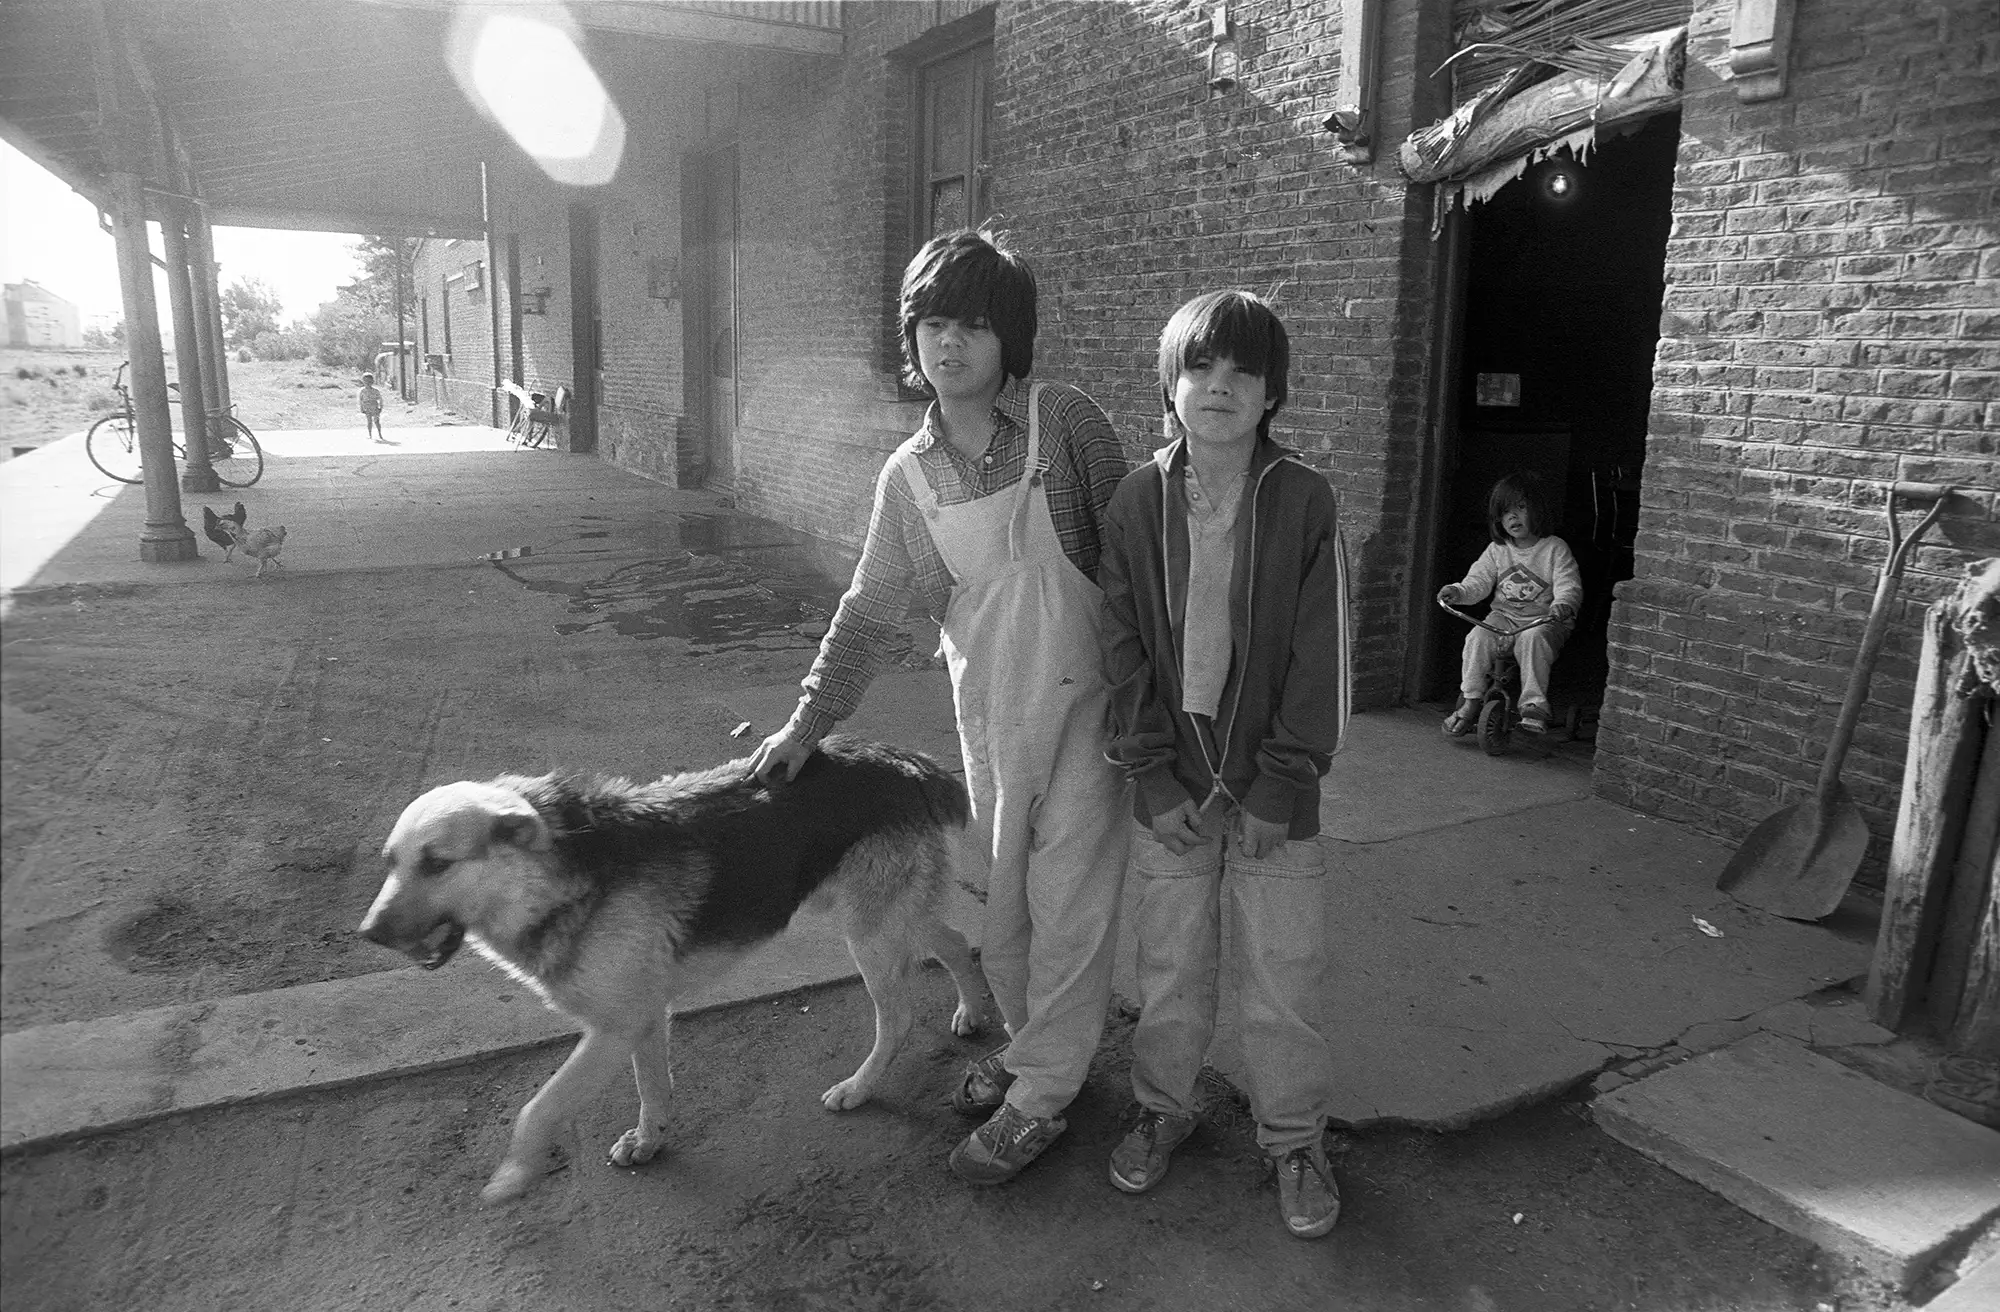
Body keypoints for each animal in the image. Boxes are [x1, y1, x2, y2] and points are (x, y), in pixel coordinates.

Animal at [359, 737, 986, 1203]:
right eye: (391, 862)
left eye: (436, 863)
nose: (368, 933)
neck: (557, 877)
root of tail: (902, 762)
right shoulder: (643, 1019)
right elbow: (652, 1089)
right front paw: (648, 1143)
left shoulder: (614, 1028)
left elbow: (539, 1109)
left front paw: (512, 1178)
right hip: (887, 918)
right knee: (957, 944)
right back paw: (973, 1011)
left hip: (869, 933)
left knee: (898, 1018)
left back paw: (859, 1087)